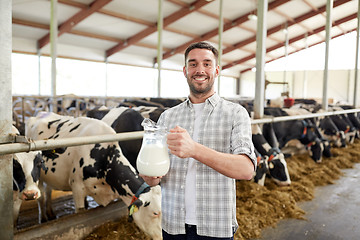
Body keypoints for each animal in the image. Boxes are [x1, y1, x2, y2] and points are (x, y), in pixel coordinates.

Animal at [24, 113, 161, 240]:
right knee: (41, 196)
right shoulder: (77, 188)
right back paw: (43, 218)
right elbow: (80, 212)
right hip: (37, 175)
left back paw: (51, 213)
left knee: (48, 190)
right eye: (155, 213)